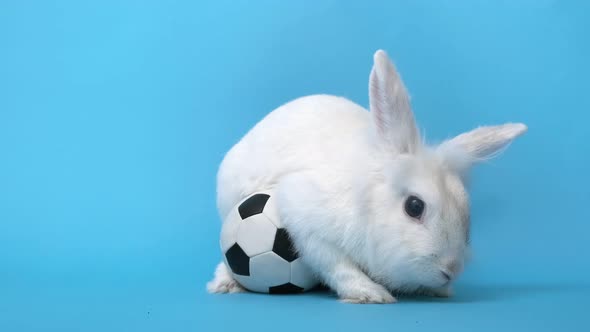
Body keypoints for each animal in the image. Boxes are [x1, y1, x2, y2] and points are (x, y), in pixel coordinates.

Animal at [207, 50, 528, 304]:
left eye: (466, 215)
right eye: (414, 207)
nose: (451, 270)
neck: (367, 201)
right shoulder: (304, 218)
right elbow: (336, 264)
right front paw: (370, 294)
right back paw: (224, 284)